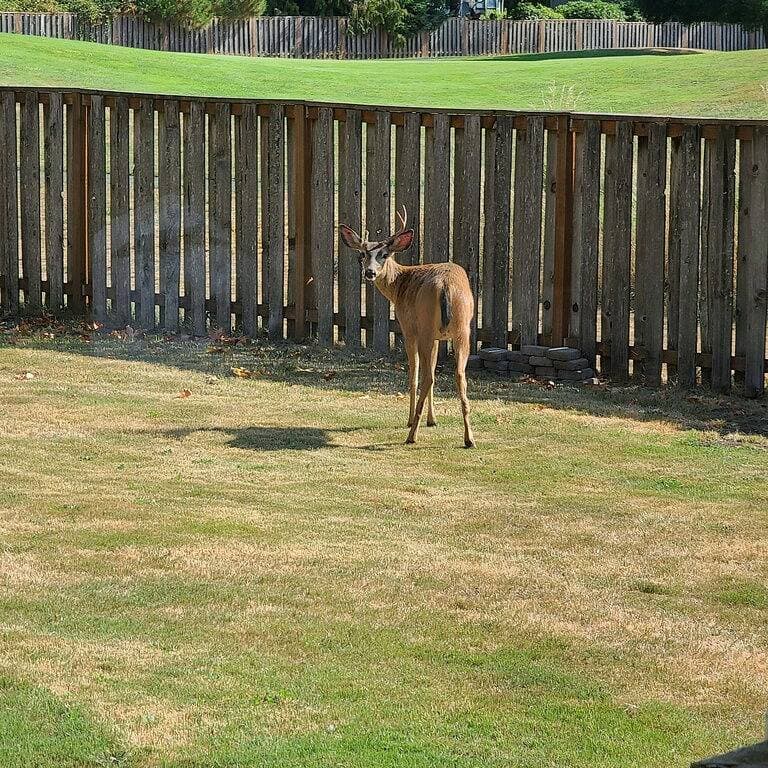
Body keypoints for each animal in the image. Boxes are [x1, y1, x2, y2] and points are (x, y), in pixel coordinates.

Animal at [339, 207, 476, 448]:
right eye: (362, 254)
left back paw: (412, 434)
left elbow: (413, 374)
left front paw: (411, 419)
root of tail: (446, 286)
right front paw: (433, 420)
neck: (399, 284)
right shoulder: (438, 338)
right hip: (462, 330)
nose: (370, 273)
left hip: (425, 329)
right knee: (459, 374)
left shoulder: (408, 328)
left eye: (384, 254)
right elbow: (433, 369)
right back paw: (469, 439)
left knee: (426, 376)